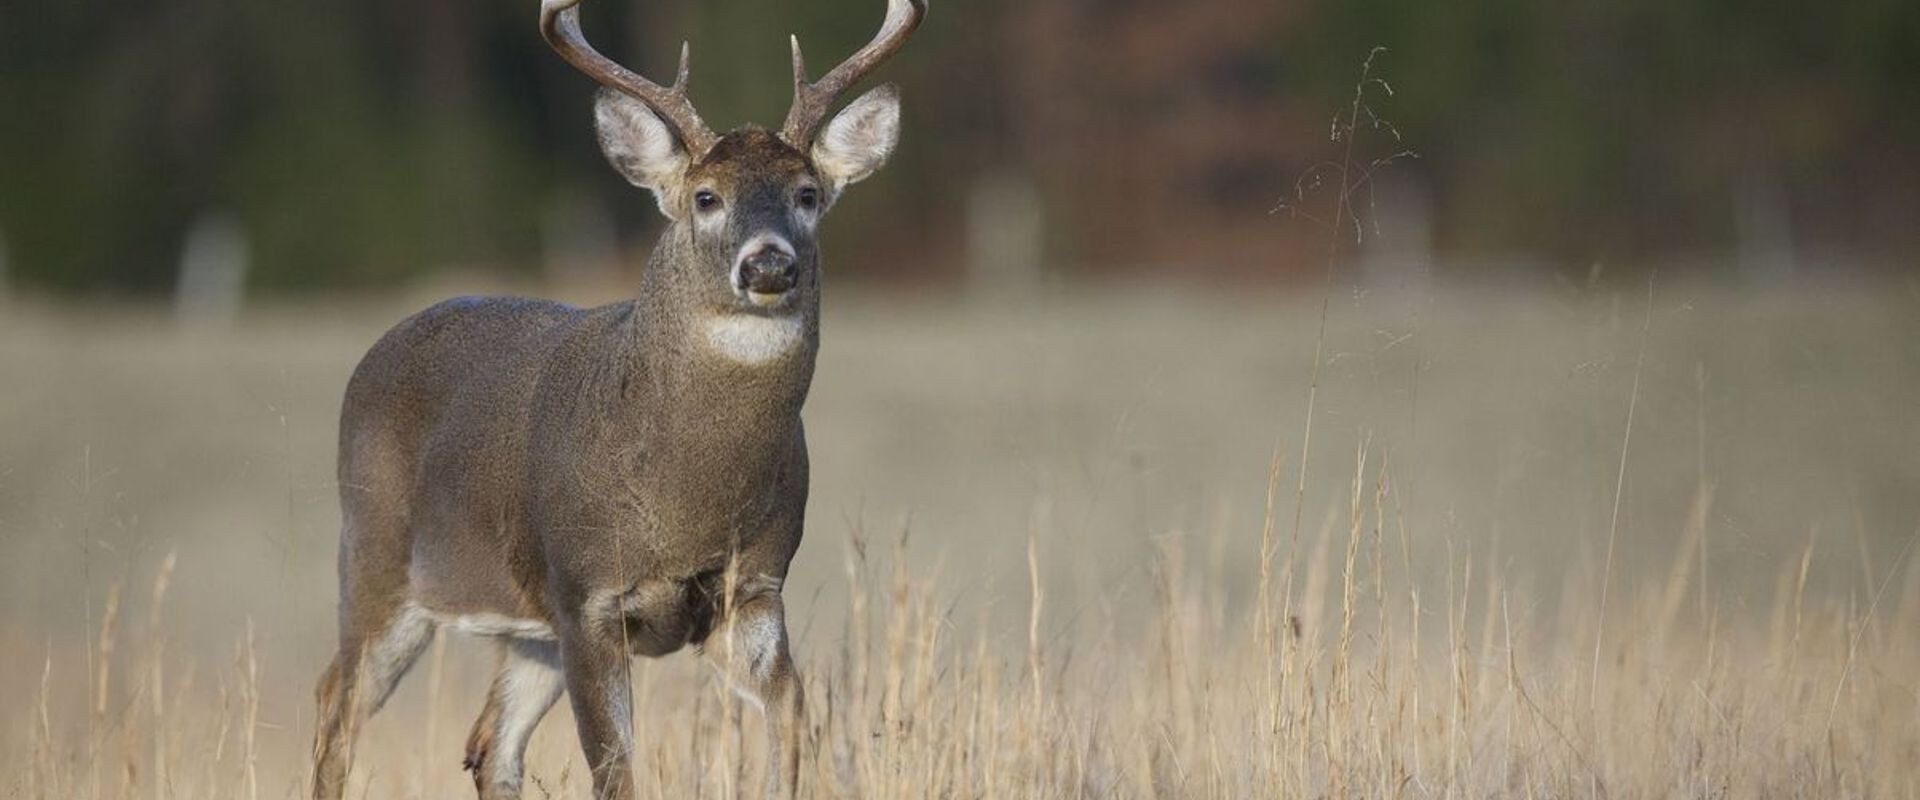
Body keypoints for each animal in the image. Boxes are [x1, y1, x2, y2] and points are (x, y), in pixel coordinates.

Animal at [307, 0, 925, 797]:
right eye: (706, 197)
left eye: (808, 194)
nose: (768, 264)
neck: (688, 500)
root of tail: (379, 347)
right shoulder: (587, 596)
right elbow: (615, 770)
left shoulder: (752, 589)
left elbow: (793, 720)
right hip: (376, 559)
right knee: (337, 703)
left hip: (523, 625)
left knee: (488, 741)